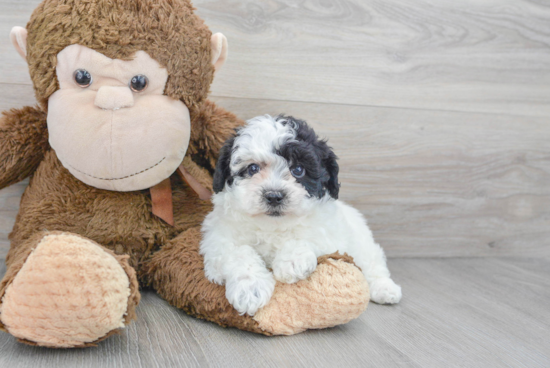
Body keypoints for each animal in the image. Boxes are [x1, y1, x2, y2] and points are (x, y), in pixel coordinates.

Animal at [201, 115, 404, 316]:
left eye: (298, 170)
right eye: (252, 169)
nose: (274, 196)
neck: (272, 226)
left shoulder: (329, 234)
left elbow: (307, 237)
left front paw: (292, 262)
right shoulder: (218, 238)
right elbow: (238, 252)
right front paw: (251, 290)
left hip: (361, 242)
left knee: (373, 263)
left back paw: (385, 289)